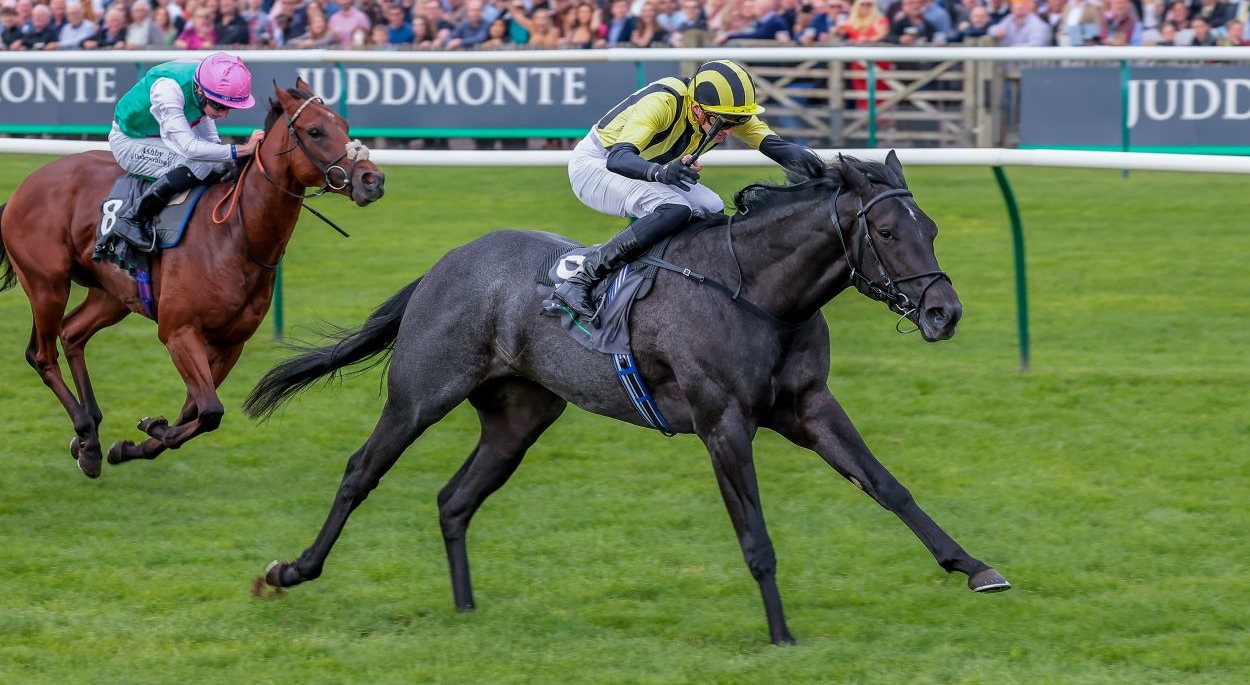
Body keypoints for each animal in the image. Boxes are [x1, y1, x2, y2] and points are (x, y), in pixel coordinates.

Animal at [0, 79, 385, 477]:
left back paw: (89, 437)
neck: (236, 233)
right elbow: (210, 410)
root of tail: (21, 190)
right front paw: (152, 429)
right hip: (47, 285)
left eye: (344, 125)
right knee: (42, 355)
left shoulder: (230, 343)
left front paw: (136, 443)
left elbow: (195, 411)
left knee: (72, 334)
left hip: (112, 296)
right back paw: (85, 433)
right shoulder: (179, 331)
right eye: (315, 131)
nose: (373, 179)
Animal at [243, 152, 1005, 645]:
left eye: (931, 229)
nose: (945, 313)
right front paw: (782, 633)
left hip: (520, 416)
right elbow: (755, 536)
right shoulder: (724, 422)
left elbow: (889, 487)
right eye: (887, 232)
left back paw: (465, 610)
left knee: (454, 500)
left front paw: (975, 567)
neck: (756, 290)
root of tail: (445, 263)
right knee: (360, 471)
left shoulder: (810, 407)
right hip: (420, 396)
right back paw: (293, 570)